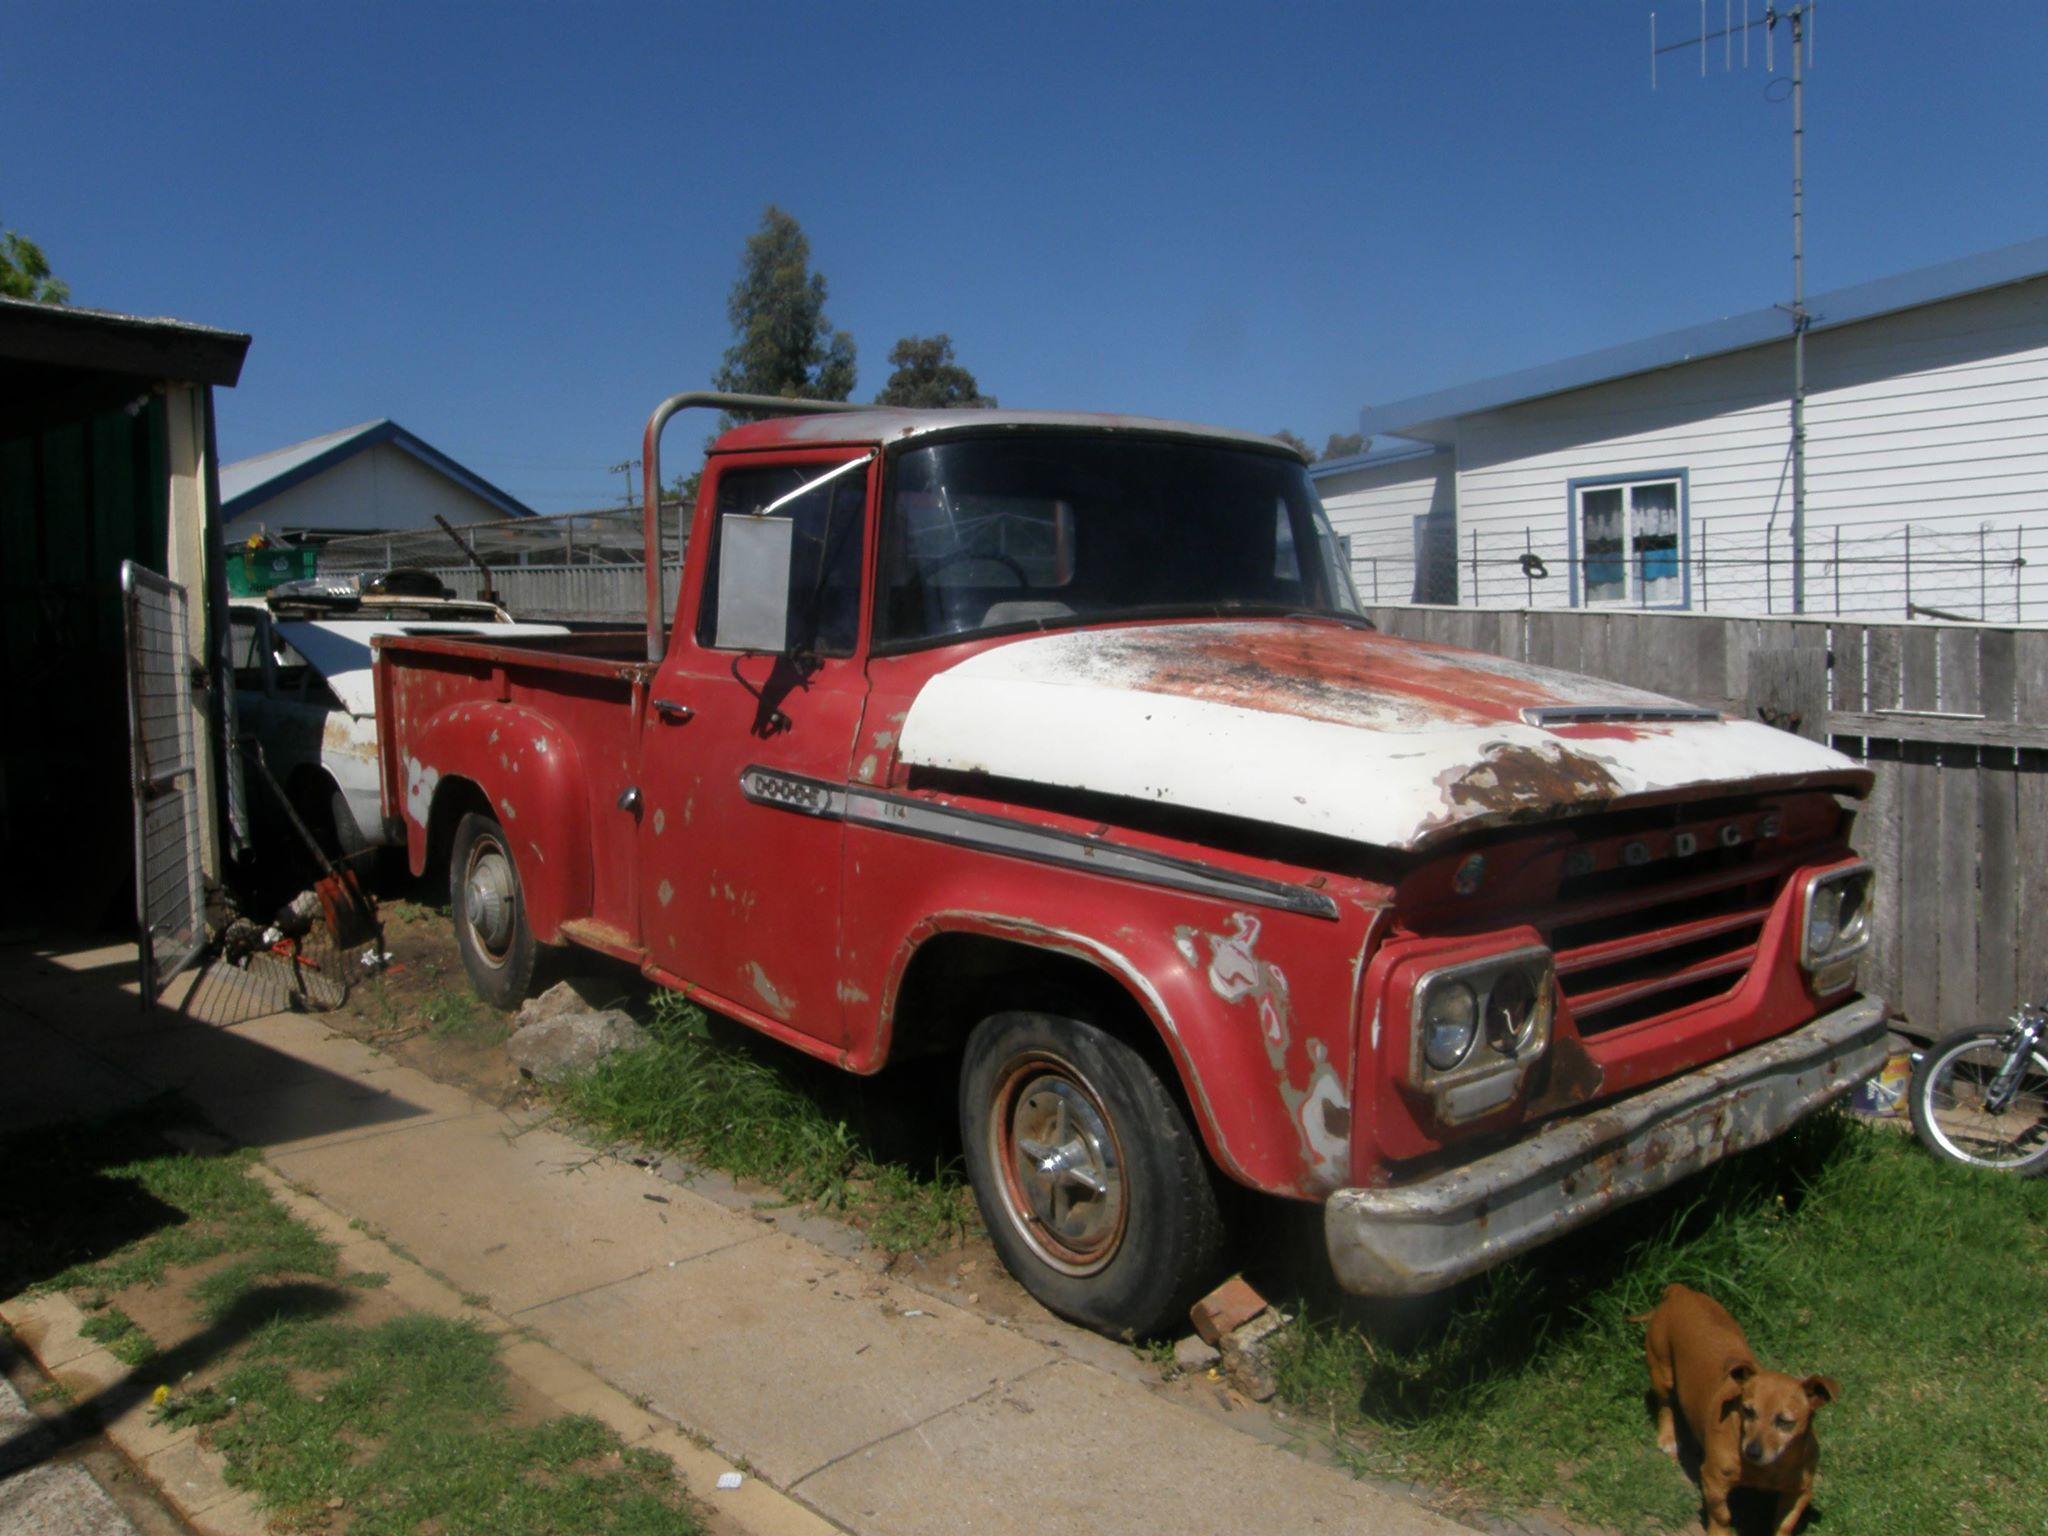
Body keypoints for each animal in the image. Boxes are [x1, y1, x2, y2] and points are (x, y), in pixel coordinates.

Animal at [1646, 1286, 1843, 1536]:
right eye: (1748, 1411)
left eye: (1785, 1421)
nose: (1752, 1451)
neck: (1767, 1468)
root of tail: (1681, 1291)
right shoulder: (1713, 1481)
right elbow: (1722, 1516)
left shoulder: (1801, 1491)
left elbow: (1785, 1524)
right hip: (1662, 1372)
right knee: (1665, 1406)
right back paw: (1667, 1438)